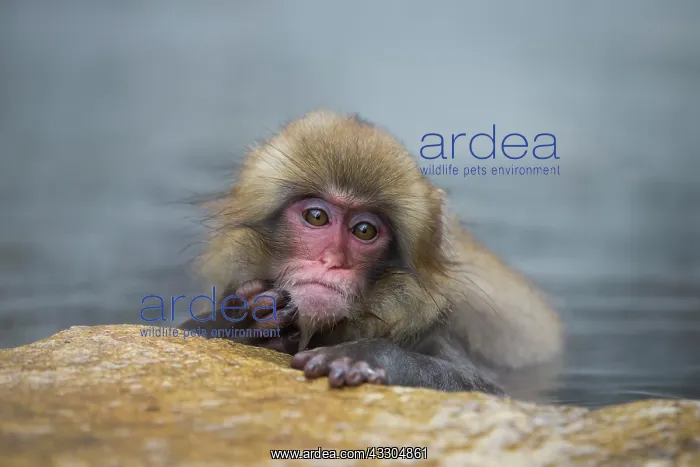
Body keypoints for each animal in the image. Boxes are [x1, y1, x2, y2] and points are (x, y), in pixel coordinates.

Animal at [179, 109, 564, 398]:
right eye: (316, 216)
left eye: (364, 230)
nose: (332, 261)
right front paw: (233, 322)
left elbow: (485, 389)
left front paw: (364, 357)